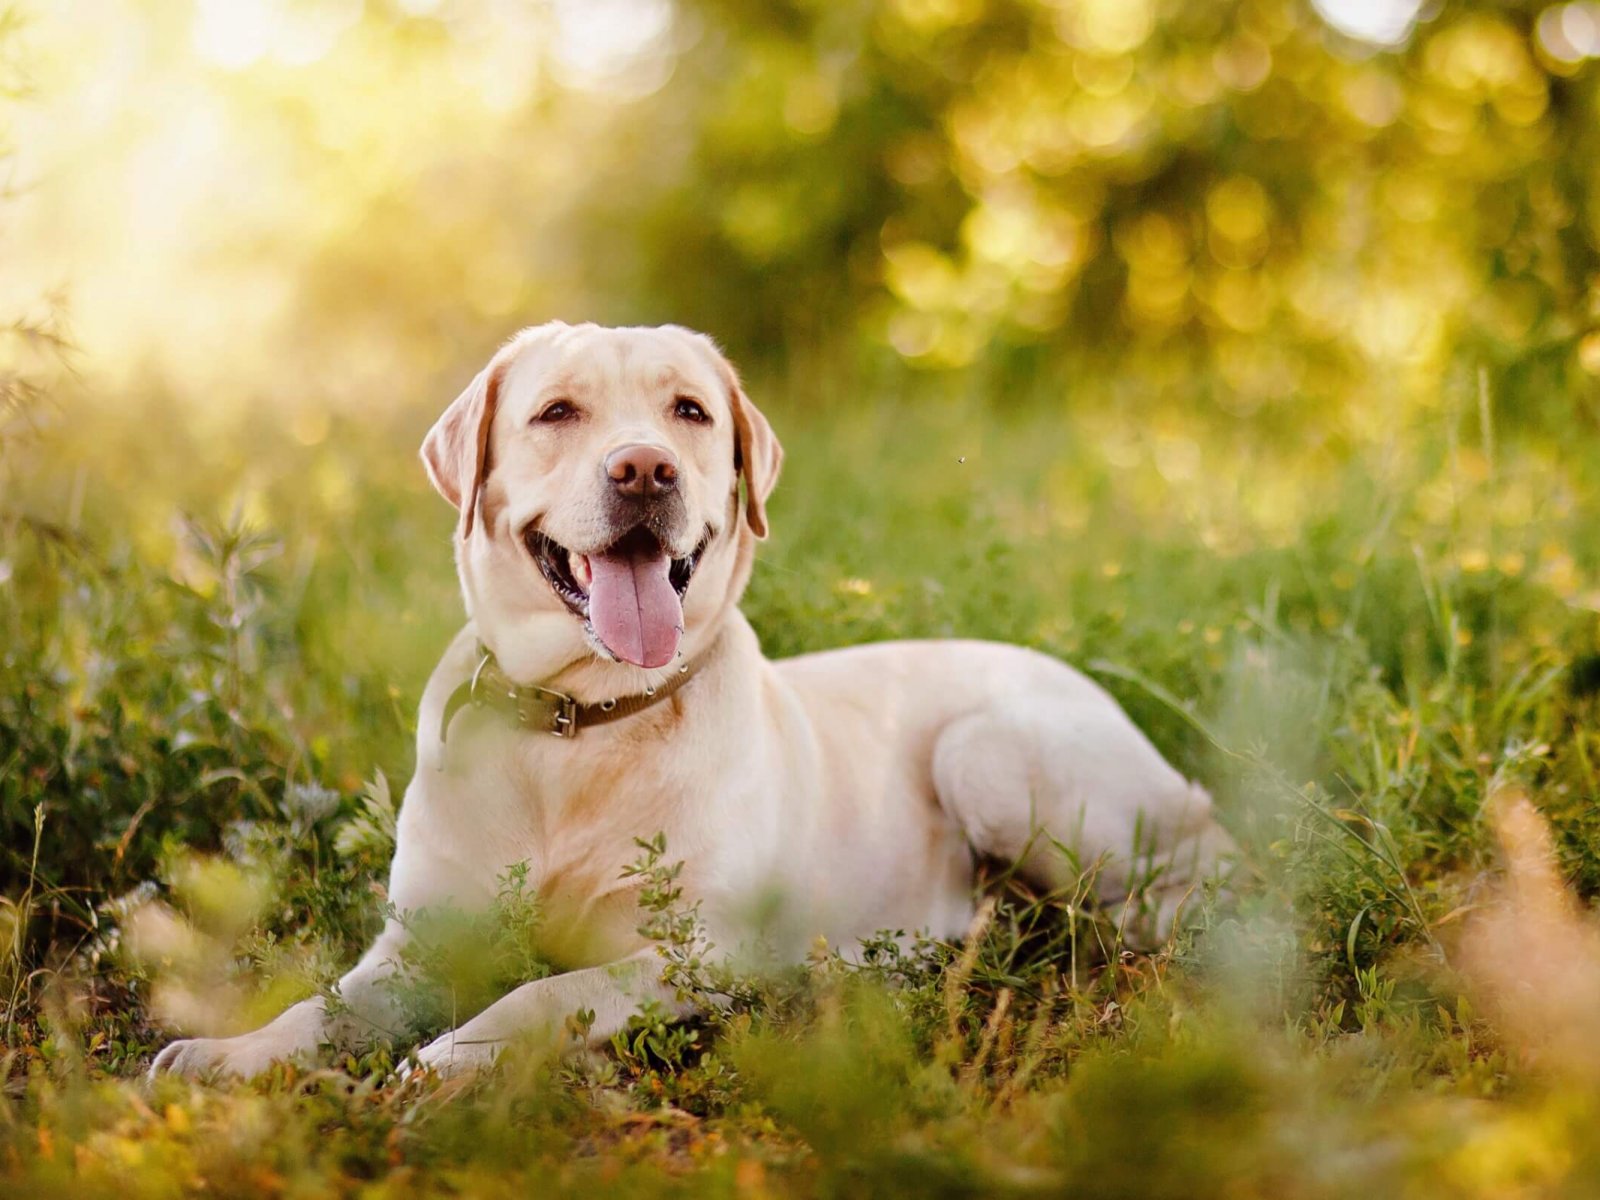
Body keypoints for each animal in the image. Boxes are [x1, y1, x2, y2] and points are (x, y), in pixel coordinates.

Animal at [150, 320, 1228, 1081]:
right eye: (557, 413)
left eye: (690, 413)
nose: (644, 469)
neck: (578, 723)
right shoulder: (416, 944)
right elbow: (322, 1004)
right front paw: (231, 1055)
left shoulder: (688, 952)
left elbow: (541, 995)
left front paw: (448, 1060)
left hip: (989, 754)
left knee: (1191, 875)